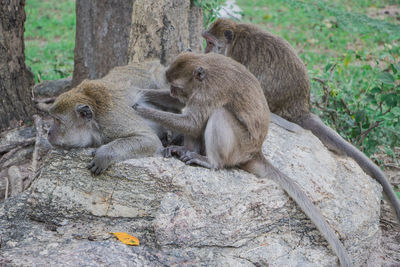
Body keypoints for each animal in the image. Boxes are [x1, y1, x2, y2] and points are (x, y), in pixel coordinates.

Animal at [134, 52, 354, 267]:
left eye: (176, 86)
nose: (172, 92)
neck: (205, 67)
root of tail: (256, 151)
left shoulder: (210, 92)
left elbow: (192, 122)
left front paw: (142, 110)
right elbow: (187, 112)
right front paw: (141, 93)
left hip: (239, 147)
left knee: (218, 113)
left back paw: (210, 161)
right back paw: (185, 149)